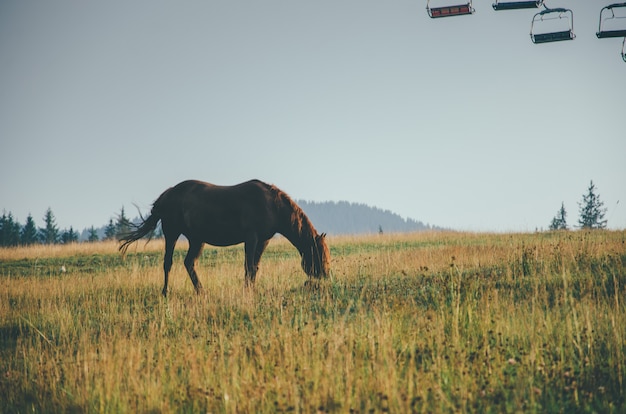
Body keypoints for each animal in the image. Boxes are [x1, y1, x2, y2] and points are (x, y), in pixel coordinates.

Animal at [118, 180, 332, 296]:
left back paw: (201, 292)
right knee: (168, 263)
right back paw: (165, 292)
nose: (326, 276)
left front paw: (251, 290)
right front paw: (247, 292)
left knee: (189, 263)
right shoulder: (251, 238)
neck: (272, 205)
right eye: (318, 253)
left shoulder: (263, 240)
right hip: (171, 233)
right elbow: (248, 267)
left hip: (197, 240)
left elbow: (255, 267)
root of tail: (166, 195)